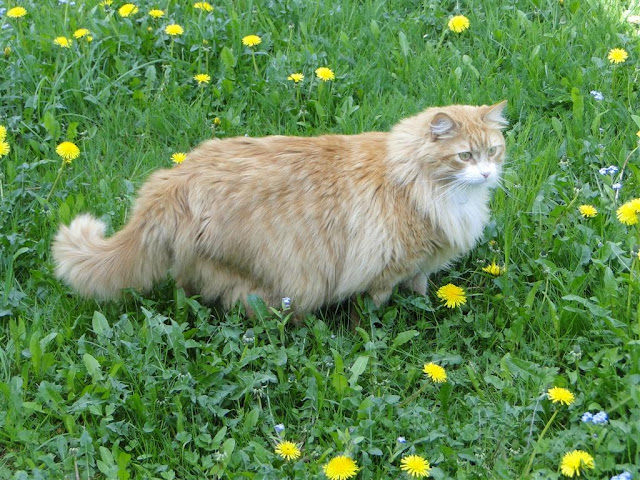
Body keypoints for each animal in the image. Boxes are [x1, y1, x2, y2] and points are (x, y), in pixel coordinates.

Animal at [52, 101, 508, 312]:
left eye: (493, 151)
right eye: (465, 156)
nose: (487, 174)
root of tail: (178, 179)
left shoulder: (420, 265)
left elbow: (421, 287)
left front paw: (425, 305)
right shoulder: (385, 267)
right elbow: (376, 305)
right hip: (285, 280)